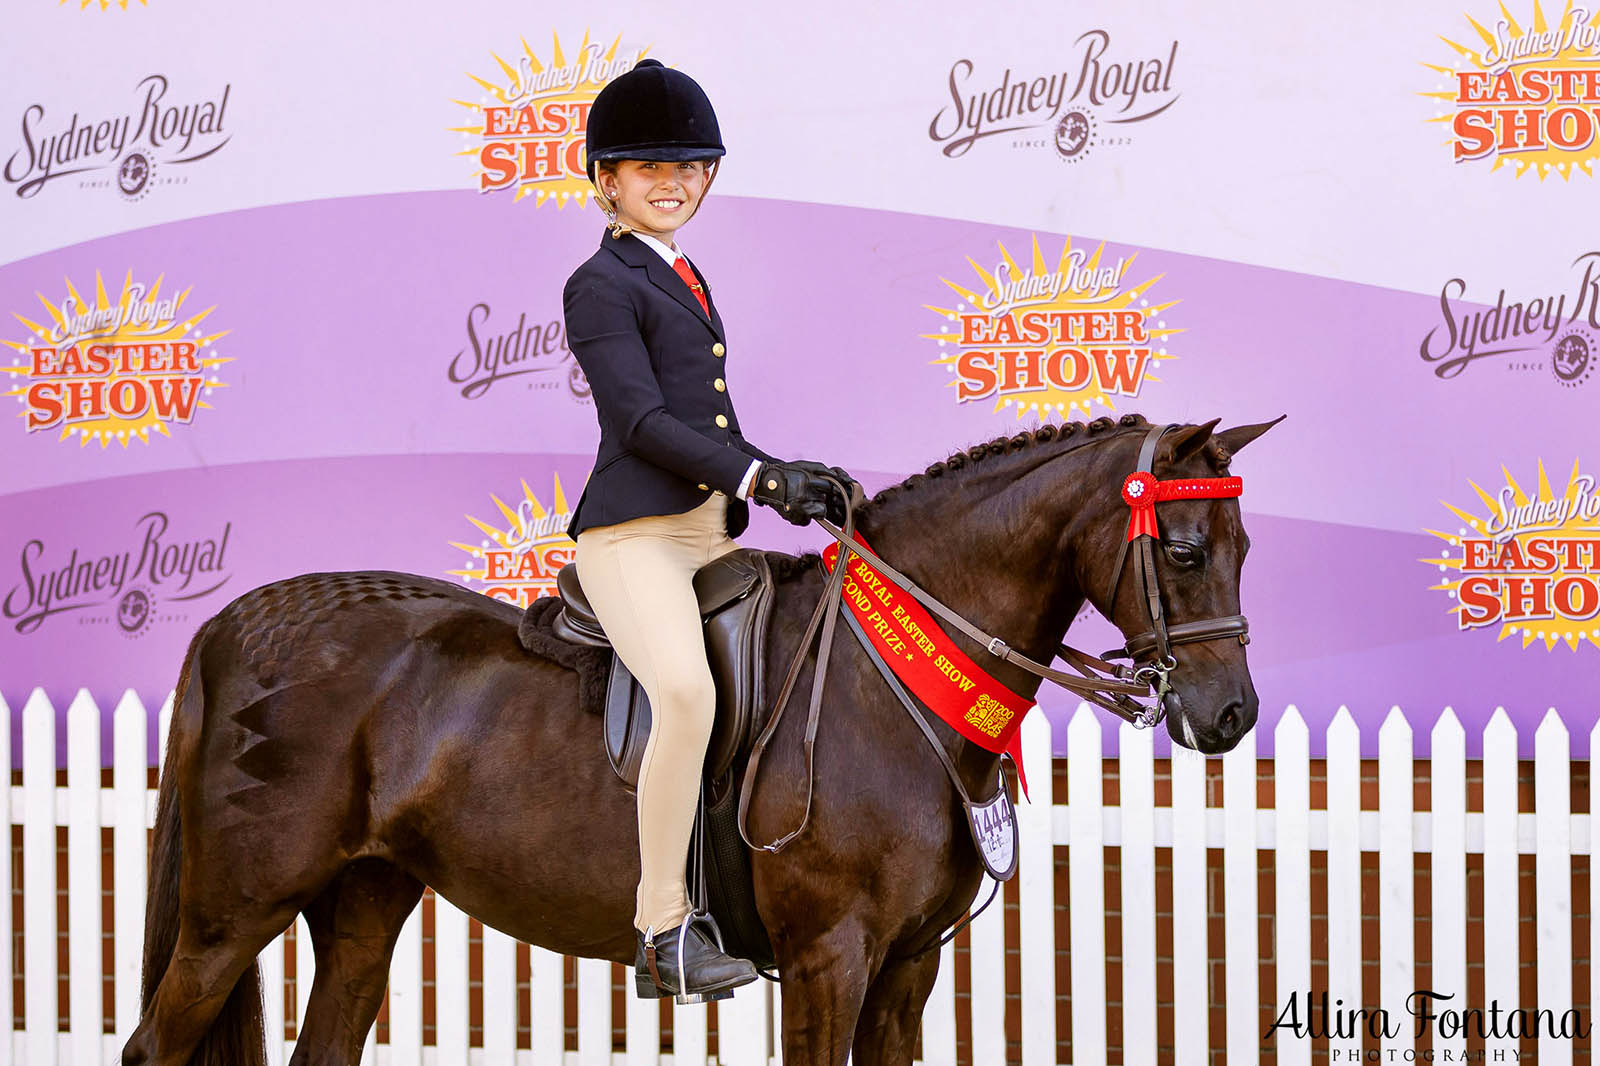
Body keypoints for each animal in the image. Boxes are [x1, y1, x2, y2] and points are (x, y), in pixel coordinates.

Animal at [121, 412, 1273, 1062]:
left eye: (1244, 547)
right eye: (1179, 549)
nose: (1229, 715)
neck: (884, 678)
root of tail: (243, 620)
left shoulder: (906, 968)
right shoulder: (828, 960)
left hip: (364, 900)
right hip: (233, 915)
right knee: (153, 1046)